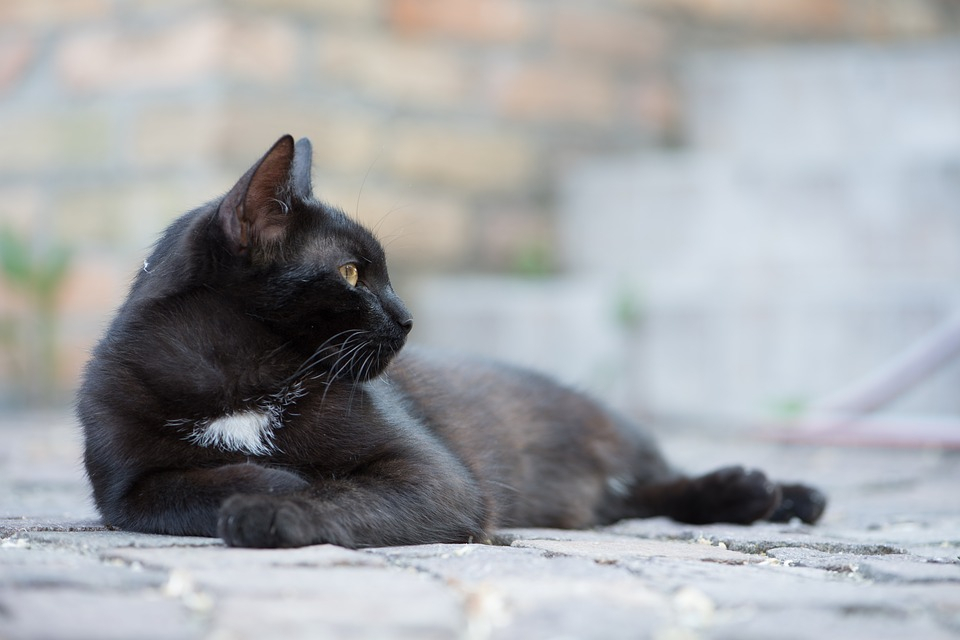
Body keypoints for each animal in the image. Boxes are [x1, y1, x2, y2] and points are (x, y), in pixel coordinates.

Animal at [75, 135, 824, 552]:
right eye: (353, 273)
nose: (408, 319)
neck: (241, 377)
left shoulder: (433, 474)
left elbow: (340, 495)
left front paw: (274, 506)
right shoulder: (125, 489)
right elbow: (183, 487)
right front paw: (269, 479)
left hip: (612, 430)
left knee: (658, 476)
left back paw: (773, 492)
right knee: (636, 497)